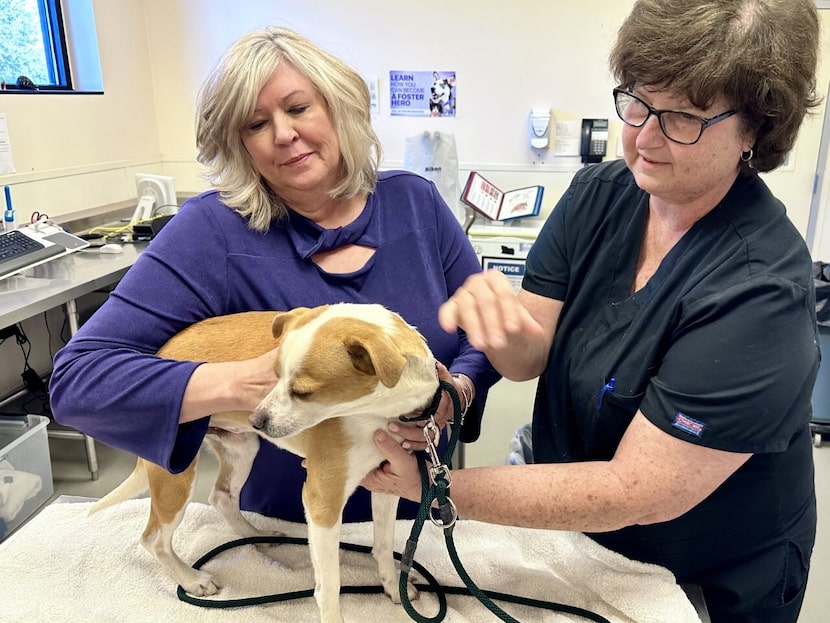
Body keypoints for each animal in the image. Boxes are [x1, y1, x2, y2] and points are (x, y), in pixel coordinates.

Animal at [91, 304, 442, 623]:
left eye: (303, 392)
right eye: (272, 376)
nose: (256, 420)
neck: (378, 412)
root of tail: (161, 352)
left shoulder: (386, 480)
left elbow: (382, 545)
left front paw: (393, 587)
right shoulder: (321, 501)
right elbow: (329, 586)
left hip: (242, 448)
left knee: (221, 497)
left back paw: (256, 536)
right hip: (175, 475)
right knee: (154, 539)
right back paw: (192, 579)